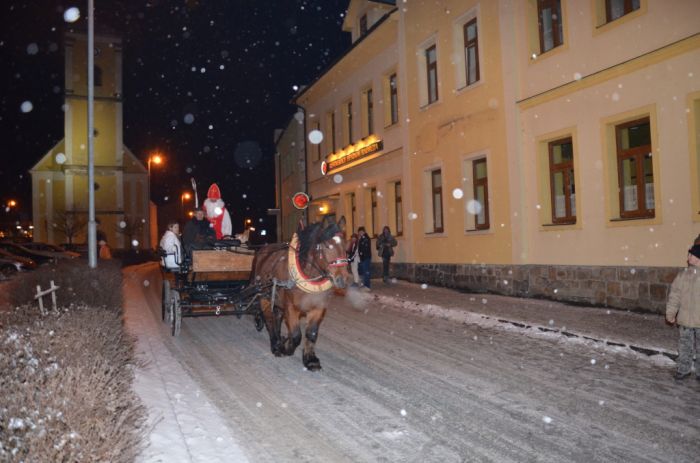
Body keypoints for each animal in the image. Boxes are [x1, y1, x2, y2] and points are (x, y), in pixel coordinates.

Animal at [250, 216, 350, 372]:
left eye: (345, 246)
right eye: (327, 246)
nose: (342, 279)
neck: (309, 276)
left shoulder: (318, 308)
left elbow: (311, 334)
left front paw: (310, 359)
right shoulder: (291, 308)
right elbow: (296, 335)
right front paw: (286, 347)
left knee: (277, 317)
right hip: (264, 298)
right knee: (270, 319)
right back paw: (276, 345)